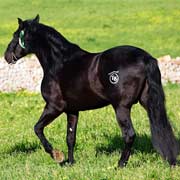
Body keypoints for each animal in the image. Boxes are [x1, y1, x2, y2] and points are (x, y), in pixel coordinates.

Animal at [4, 14, 179, 167]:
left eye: (15, 35)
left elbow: (38, 128)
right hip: (148, 102)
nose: (6, 56)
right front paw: (70, 163)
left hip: (121, 107)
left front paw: (57, 156)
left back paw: (120, 164)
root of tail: (145, 58)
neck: (60, 63)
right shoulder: (72, 111)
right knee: (163, 128)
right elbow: (70, 137)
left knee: (129, 134)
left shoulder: (54, 106)